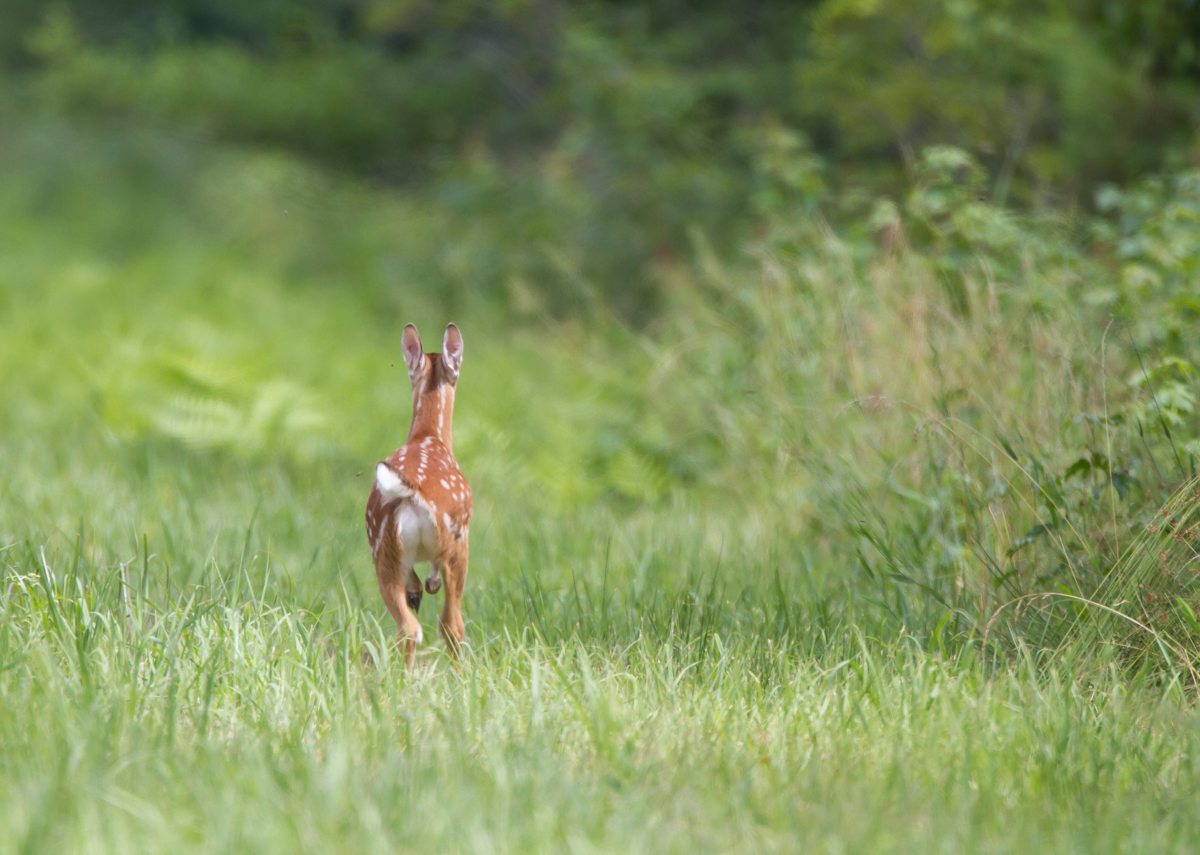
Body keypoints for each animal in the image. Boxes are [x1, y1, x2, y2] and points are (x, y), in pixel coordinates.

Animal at [365, 323, 472, 668]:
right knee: (449, 625)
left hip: (382, 549)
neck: (429, 436)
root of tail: (412, 492)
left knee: (408, 627)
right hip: (456, 545)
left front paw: (418, 590)